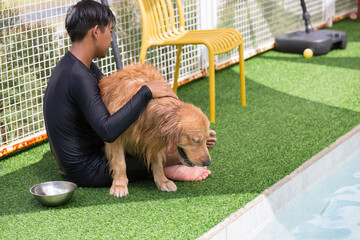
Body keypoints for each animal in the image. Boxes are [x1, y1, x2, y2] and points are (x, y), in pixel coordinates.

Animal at [98, 63, 211, 197]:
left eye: (205, 139)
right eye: (196, 140)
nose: (208, 162)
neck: (145, 108)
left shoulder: (154, 139)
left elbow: (157, 162)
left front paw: (163, 181)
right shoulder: (116, 138)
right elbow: (120, 163)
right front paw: (119, 185)